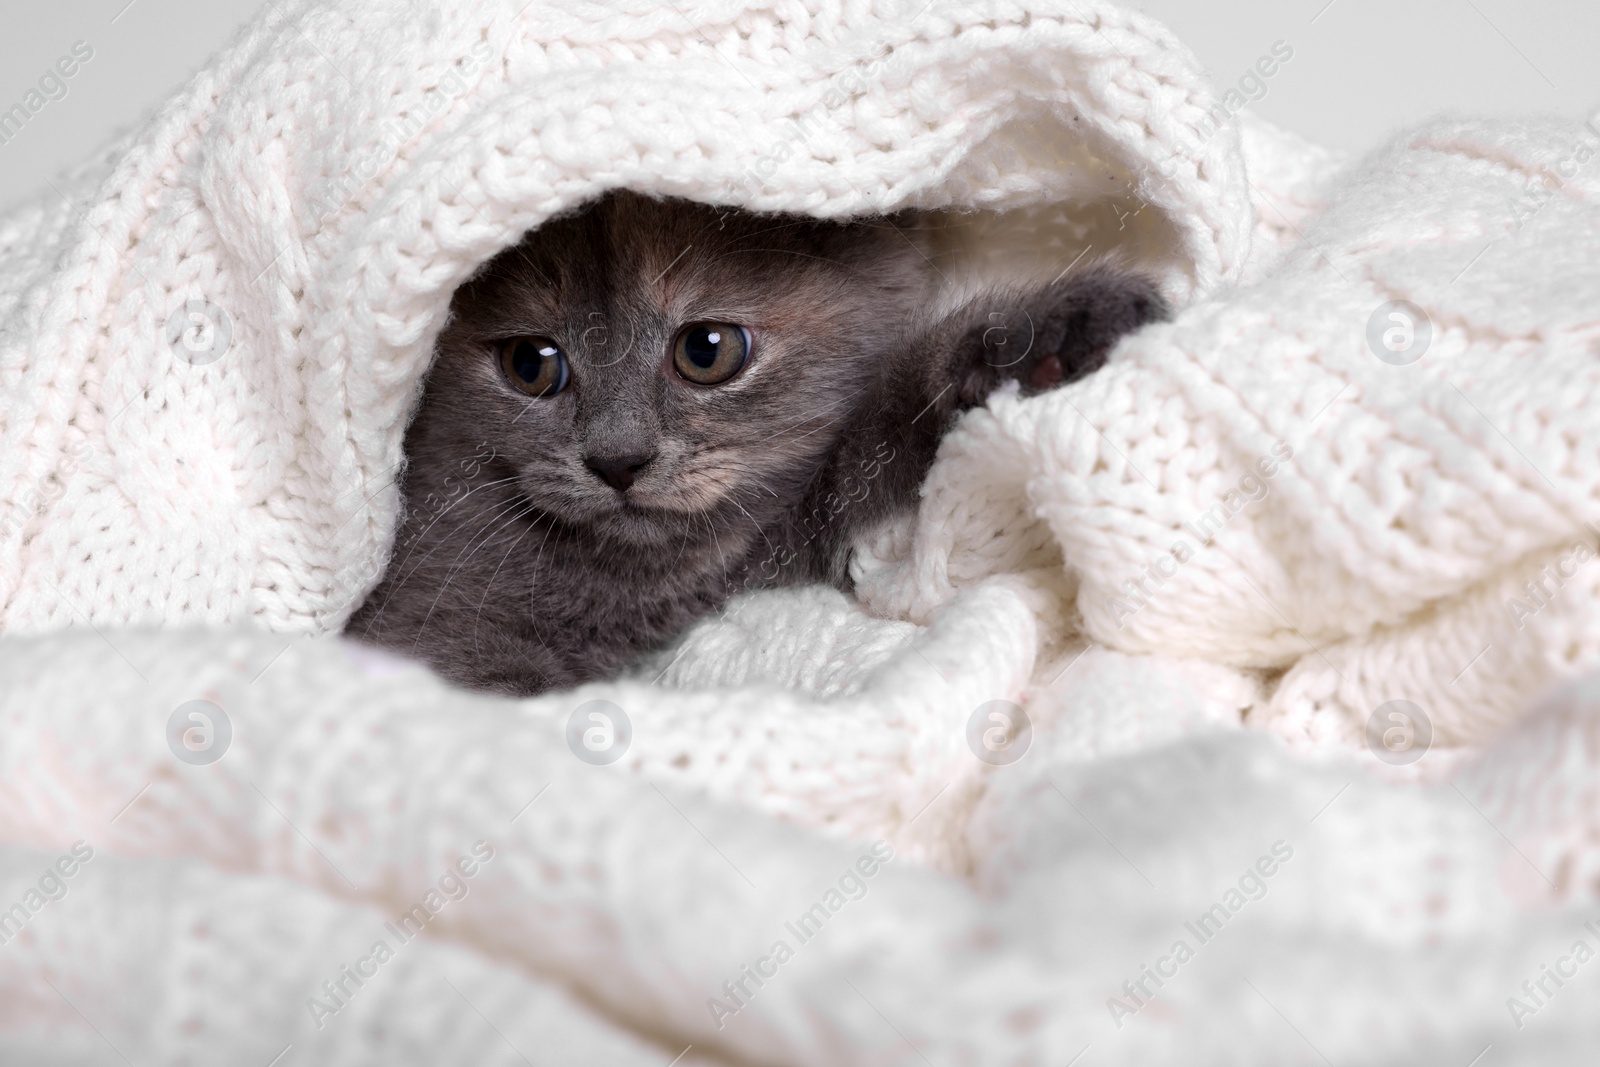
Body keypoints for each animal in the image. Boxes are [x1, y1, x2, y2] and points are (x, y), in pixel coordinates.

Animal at [350, 189, 1164, 694]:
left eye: (706, 351)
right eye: (530, 365)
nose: (618, 459)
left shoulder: (793, 518)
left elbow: (885, 422)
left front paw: (1050, 333)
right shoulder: (431, 620)